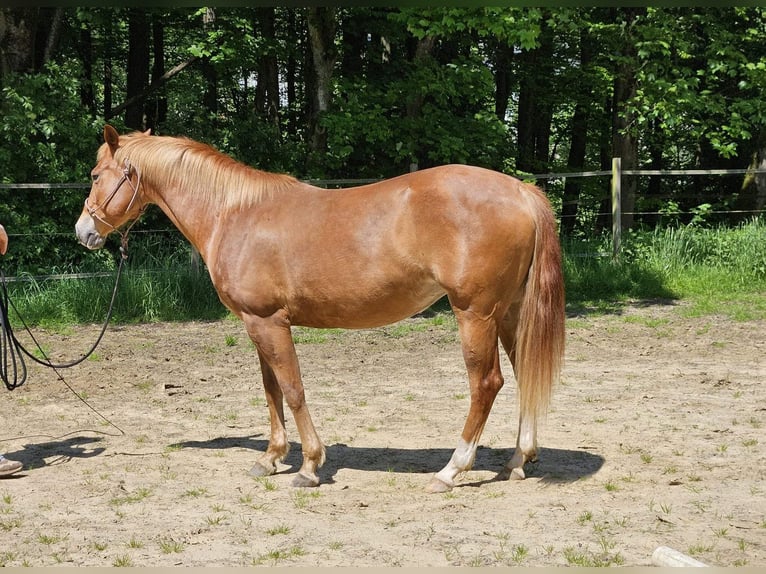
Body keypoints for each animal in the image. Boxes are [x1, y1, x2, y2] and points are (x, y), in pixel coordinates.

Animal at [78, 126, 568, 496]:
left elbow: (293, 390)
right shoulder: (256, 324)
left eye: (97, 174)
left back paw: (452, 470)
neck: (235, 213)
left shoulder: (270, 322)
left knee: (486, 384)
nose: (84, 232)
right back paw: (518, 461)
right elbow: (271, 390)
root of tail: (521, 191)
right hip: (510, 313)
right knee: (523, 374)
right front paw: (271, 459)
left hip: (475, 314)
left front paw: (310, 466)